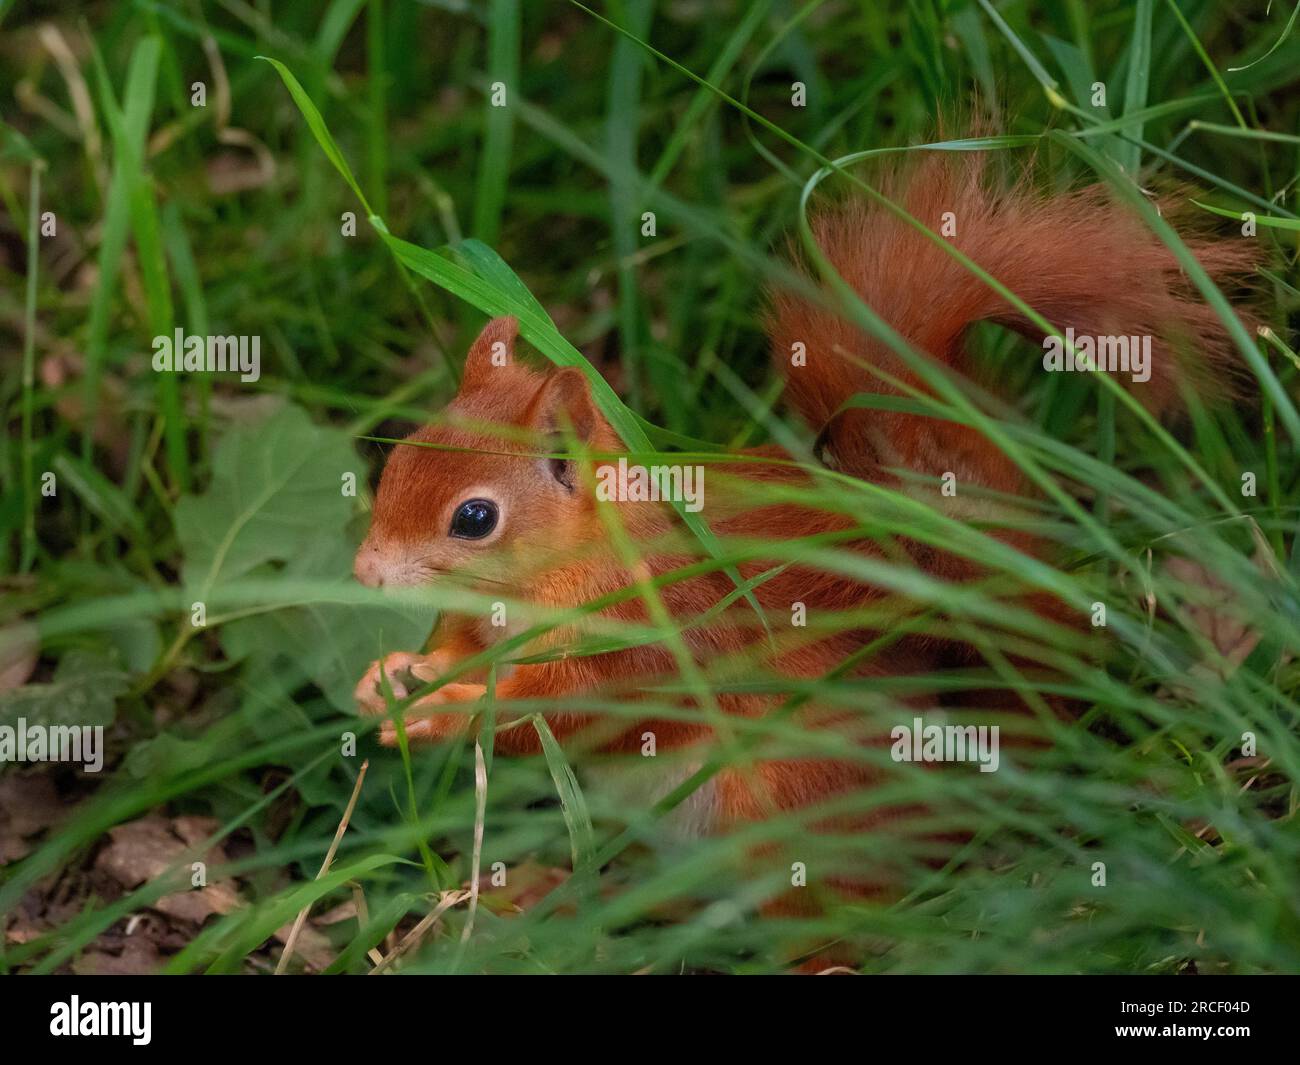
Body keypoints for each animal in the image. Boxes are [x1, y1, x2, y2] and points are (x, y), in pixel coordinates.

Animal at [351, 147, 1242, 858]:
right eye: (398, 457)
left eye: (474, 517)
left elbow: (585, 711)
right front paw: (393, 675)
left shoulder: (661, 638)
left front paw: (444, 709)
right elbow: (464, 647)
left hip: (782, 801)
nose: (364, 574)